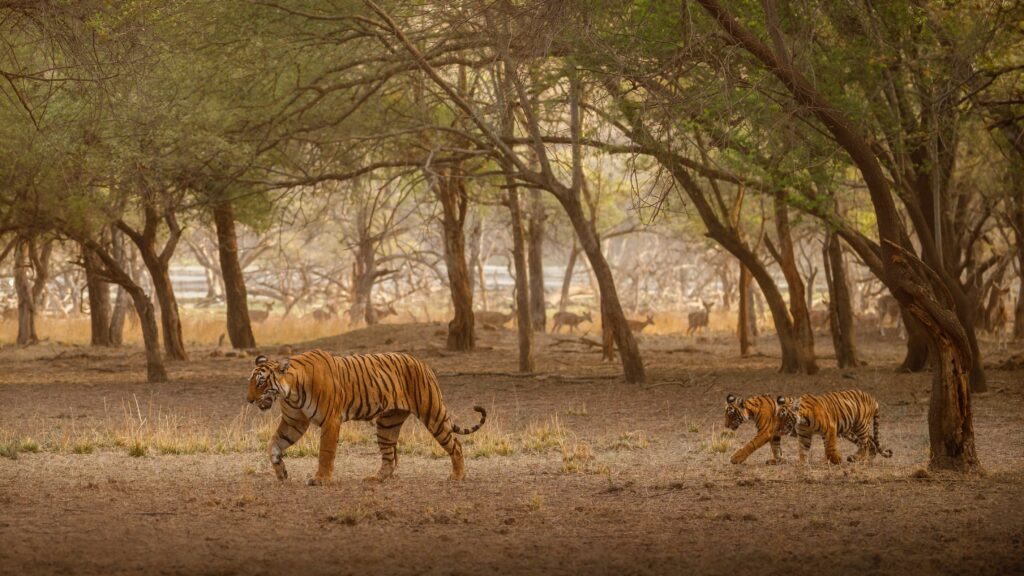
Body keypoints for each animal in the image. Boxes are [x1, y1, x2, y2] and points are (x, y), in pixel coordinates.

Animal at [247, 348, 487, 481]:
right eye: (251, 382)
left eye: (261, 382)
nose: (249, 400)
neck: (290, 392)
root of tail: (423, 363)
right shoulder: (294, 422)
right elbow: (274, 444)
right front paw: (281, 472)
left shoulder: (330, 420)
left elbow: (325, 452)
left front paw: (320, 479)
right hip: (387, 423)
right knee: (389, 457)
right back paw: (376, 479)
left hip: (433, 413)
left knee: (456, 445)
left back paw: (457, 476)